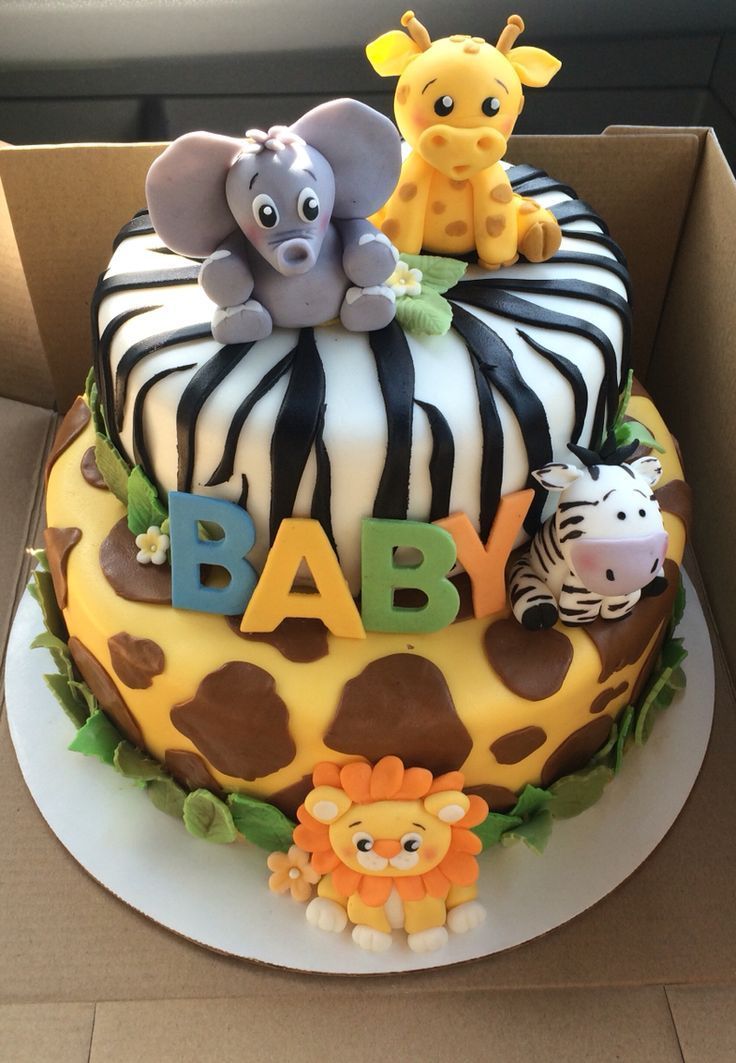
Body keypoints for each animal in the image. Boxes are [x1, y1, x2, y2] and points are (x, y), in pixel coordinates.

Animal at [145, 98, 402, 342]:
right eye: (266, 215)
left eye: (311, 208)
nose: (294, 251)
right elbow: (223, 263)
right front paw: (224, 276)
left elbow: (365, 238)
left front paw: (371, 255)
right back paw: (242, 322)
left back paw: (370, 305)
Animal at [293, 756, 489, 956]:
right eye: (363, 844)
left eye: (412, 845)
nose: (387, 850)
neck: (393, 879)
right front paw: (370, 937)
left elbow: (426, 920)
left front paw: (428, 939)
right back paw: (325, 912)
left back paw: (468, 914)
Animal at [368, 11, 561, 267]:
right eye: (443, 105)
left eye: (492, 106)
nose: (463, 143)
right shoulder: (412, 181)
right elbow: (403, 218)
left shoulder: (492, 181)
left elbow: (497, 221)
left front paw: (500, 263)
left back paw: (542, 233)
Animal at [508, 452, 667, 625]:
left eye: (642, 512)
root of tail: (528, 552)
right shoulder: (580, 588)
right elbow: (580, 609)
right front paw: (577, 623)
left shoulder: (627, 590)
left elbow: (622, 605)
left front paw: (619, 616)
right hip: (527, 571)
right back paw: (539, 610)